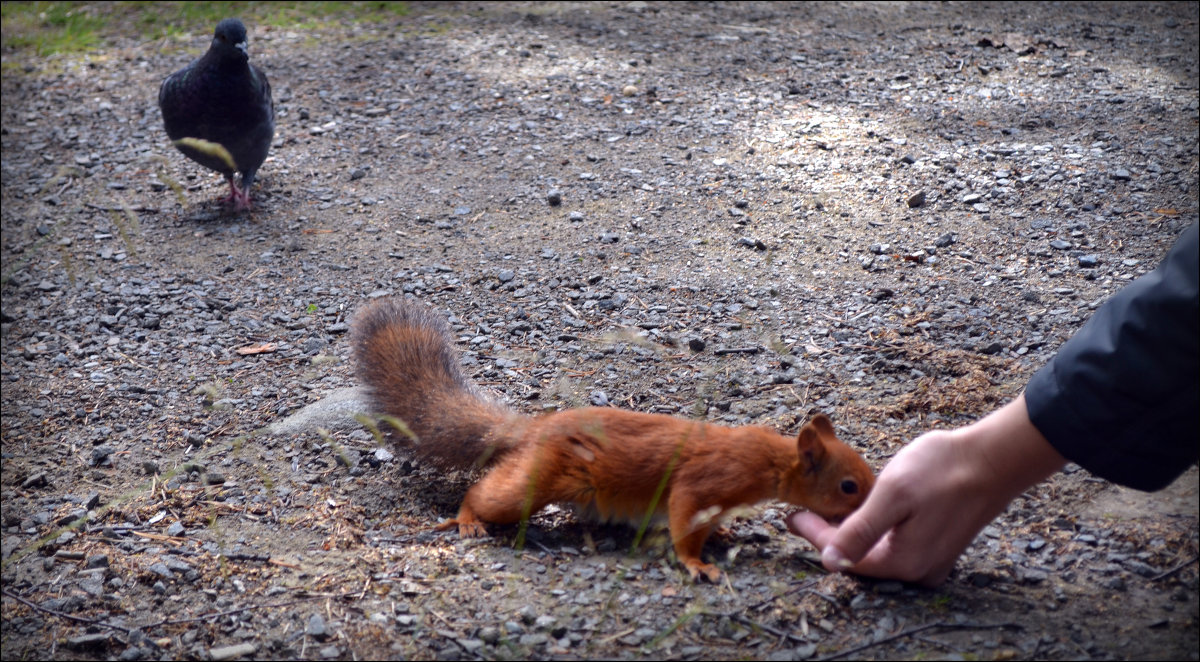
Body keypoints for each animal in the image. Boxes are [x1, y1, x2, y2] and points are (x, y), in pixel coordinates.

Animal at [350, 297, 878, 582]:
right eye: (848, 486)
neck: (769, 461)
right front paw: (697, 564)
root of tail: (534, 429)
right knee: (485, 494)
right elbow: (683, 521)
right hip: (531, 483)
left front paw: (723, 534)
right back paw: (467, 520)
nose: (869, 505)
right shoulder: (702, 482)